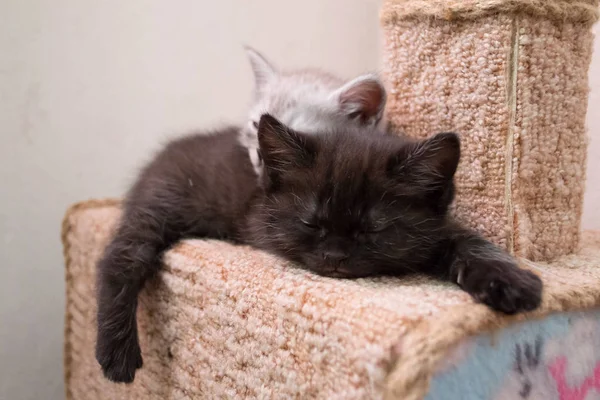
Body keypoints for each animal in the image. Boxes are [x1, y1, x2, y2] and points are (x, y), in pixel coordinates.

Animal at [97, 114, 544, 382]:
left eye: (371, 229)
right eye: (311, 222)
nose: (335, 258)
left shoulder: (433, 229)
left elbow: (467, 240)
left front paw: (510, 281)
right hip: (166, 199)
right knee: (120, 256)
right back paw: (116, 351)